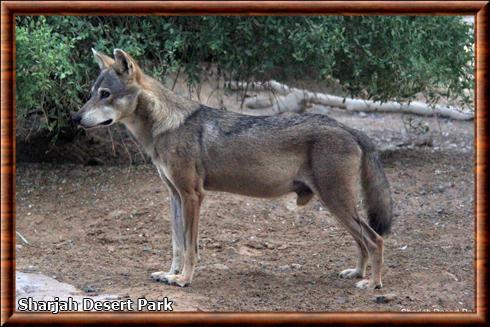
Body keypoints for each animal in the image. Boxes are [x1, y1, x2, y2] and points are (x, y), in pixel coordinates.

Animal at [72, 48, 394, 290]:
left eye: (105, 94)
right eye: (91, 93)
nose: (75, 118)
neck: (164, 126)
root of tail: (348, 127)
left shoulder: (192, 196)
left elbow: (190, 247)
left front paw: (184, 279)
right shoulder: (174, 196)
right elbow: (177, 244)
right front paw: (169, 274)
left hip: (337, 202)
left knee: (375, 240)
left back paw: (372, 284)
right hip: (336, 207)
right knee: (362, 242)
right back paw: (357, 274)